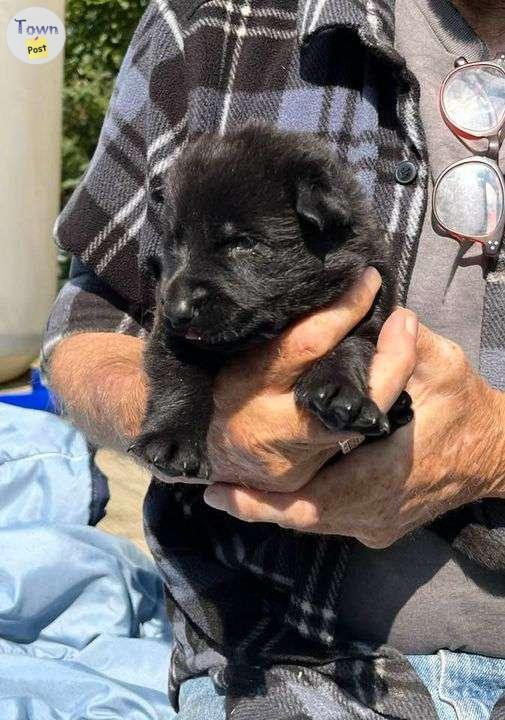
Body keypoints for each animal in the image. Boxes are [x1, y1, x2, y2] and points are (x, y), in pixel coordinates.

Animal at [132, 125, 412, 478]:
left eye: (243, 242)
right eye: (174, 244)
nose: (176, 310)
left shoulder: (370, 294)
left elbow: (350, 343)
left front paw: (339, 391)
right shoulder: (168, 332)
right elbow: (180, 374)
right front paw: (172, 439)